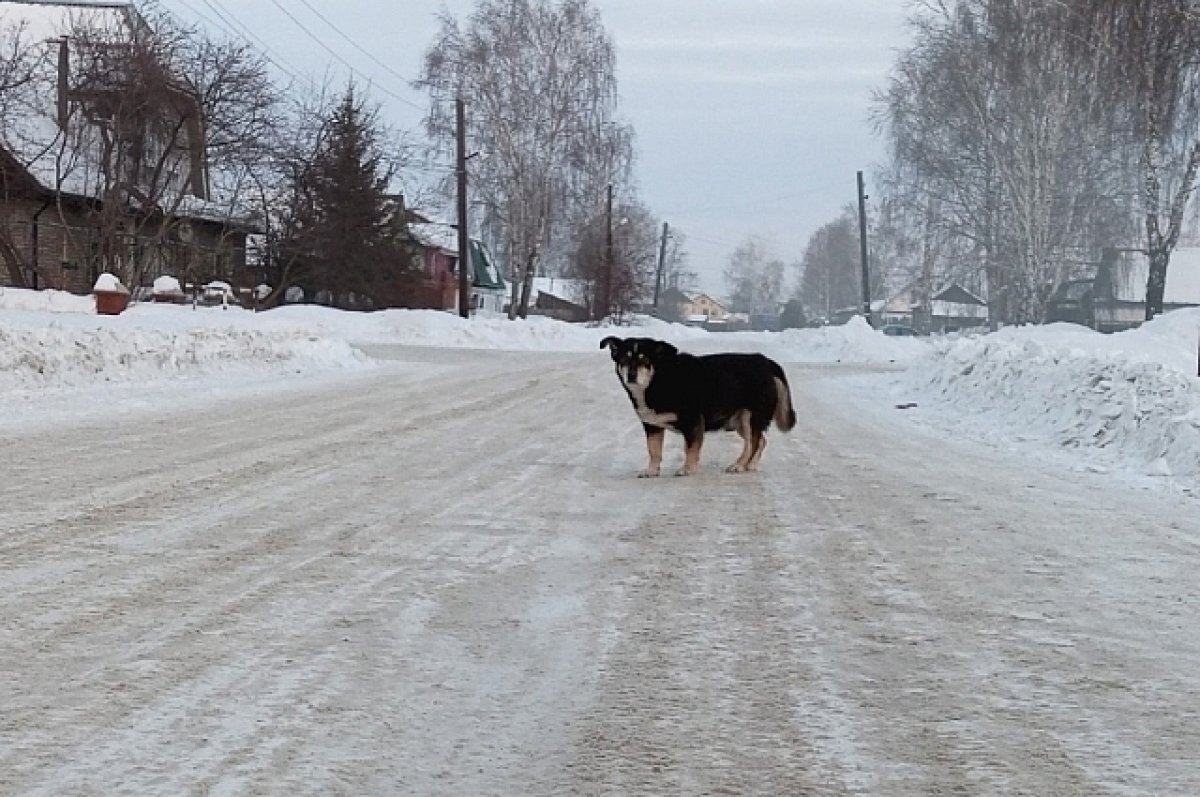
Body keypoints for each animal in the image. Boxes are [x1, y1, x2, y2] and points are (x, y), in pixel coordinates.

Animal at [600, 333, 796, 475]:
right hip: (739, 421)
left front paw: (687, 469)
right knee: (761, 441)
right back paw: (750, 465)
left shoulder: (692, 421)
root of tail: (766, 362)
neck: (659, 379)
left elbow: (690, 449)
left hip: (751, 416)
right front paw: (651, 470)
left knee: (753, 443)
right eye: (624, 360)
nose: (631, 375)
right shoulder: (652, 426)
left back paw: (739, 465)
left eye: (645, 360)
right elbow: (654, 450)